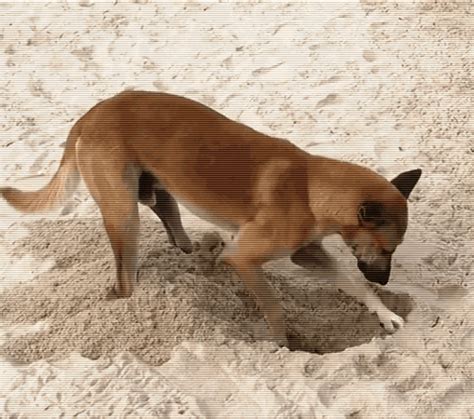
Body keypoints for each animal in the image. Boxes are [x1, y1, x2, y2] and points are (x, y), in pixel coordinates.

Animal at [0, 92, 422, 348]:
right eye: (387, 248)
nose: (386, 279)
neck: (310, 185)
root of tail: (94, 111)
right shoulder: (246, 260)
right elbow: (274, 308)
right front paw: (283, 346)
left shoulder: (307, 253)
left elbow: (354, 283)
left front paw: (385, 314)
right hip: (124, 216)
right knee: (124, 282)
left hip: (159, 190)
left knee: (171, 225)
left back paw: (195, 254)